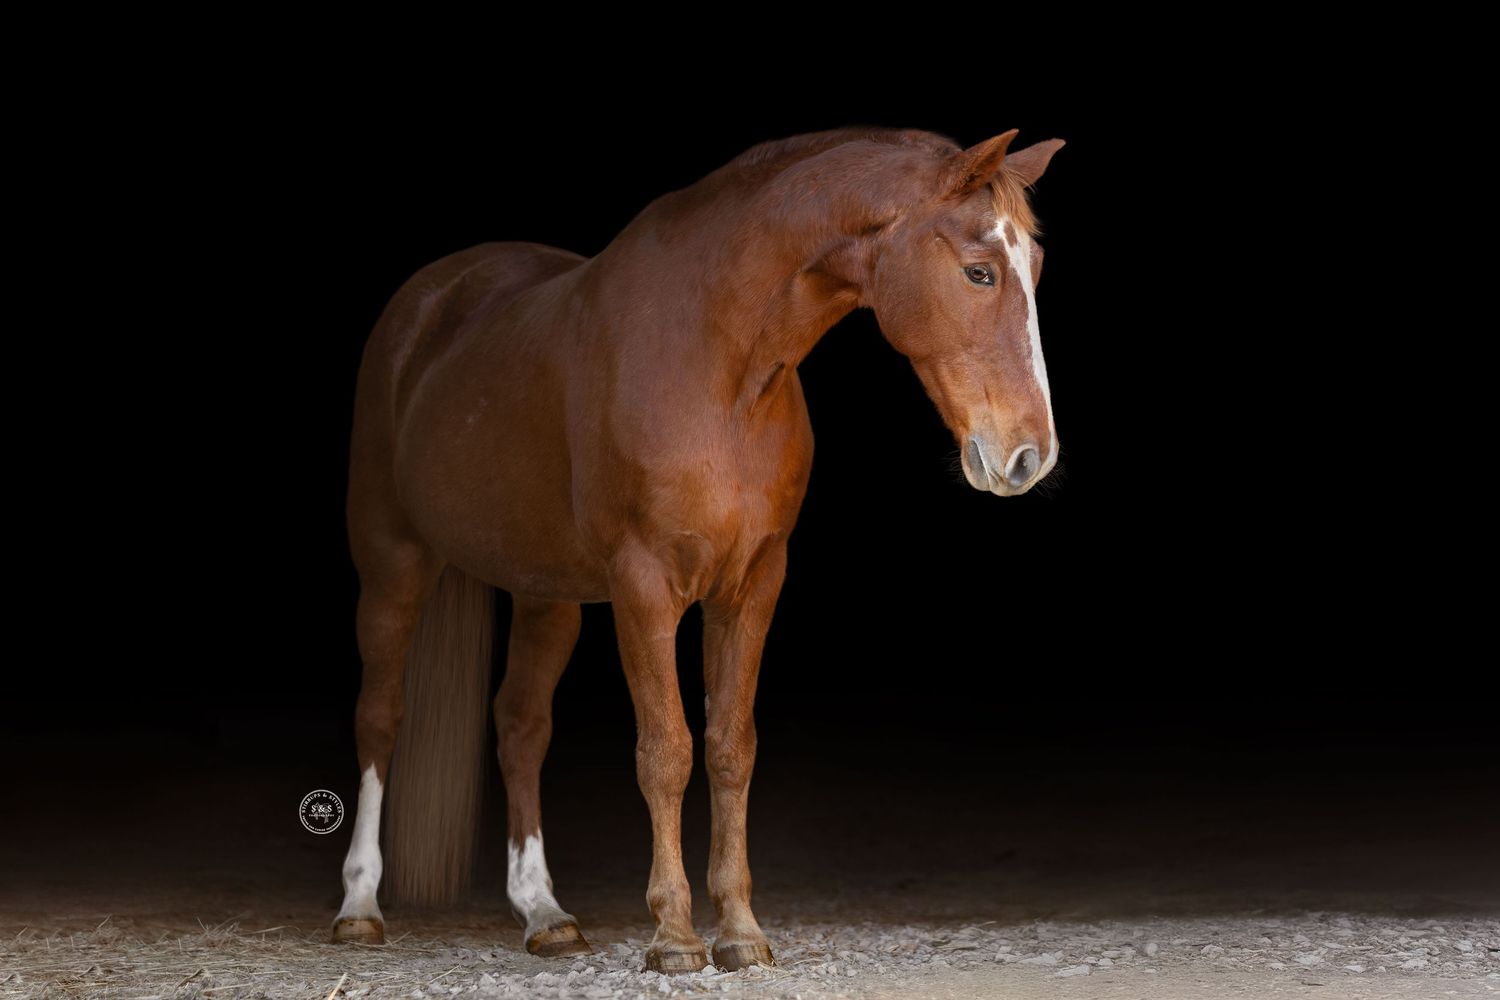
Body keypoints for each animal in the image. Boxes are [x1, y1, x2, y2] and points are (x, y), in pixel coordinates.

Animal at [330, 125, 1065, 973]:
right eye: (980, 271)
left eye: (1034, 268)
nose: (1029, 456)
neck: (720, 366)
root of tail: (429, 301)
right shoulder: (643, 586)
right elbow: (667, 752)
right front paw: (674, 937)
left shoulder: (753, 583)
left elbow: (729, 747)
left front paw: (740, 931)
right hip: (394, 562)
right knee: (380, 716)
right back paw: (359, 907)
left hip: (545, 592)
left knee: (520, 727)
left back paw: (544, 912)